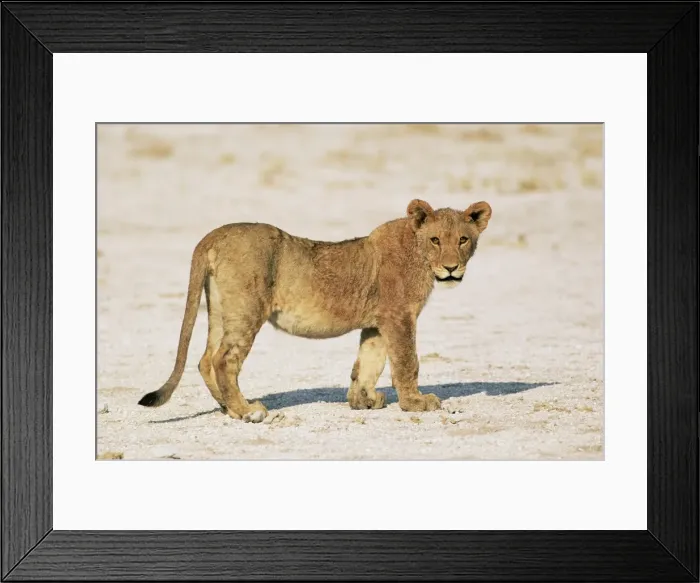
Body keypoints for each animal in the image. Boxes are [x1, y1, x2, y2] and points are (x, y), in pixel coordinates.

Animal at [138, 199, 492, 422]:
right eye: (436, 240)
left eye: (463, 239)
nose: (451, 268)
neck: (418, 252)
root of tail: (214, 234)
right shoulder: (399, 316)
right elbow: (407, 362)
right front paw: (416, 403)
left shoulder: (378, 321)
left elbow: (369, 361)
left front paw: (363, 401)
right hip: (246, 309)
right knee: (224, 360)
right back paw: (247, 411)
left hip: (220, 309)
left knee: (205, 360)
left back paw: (228, 407)